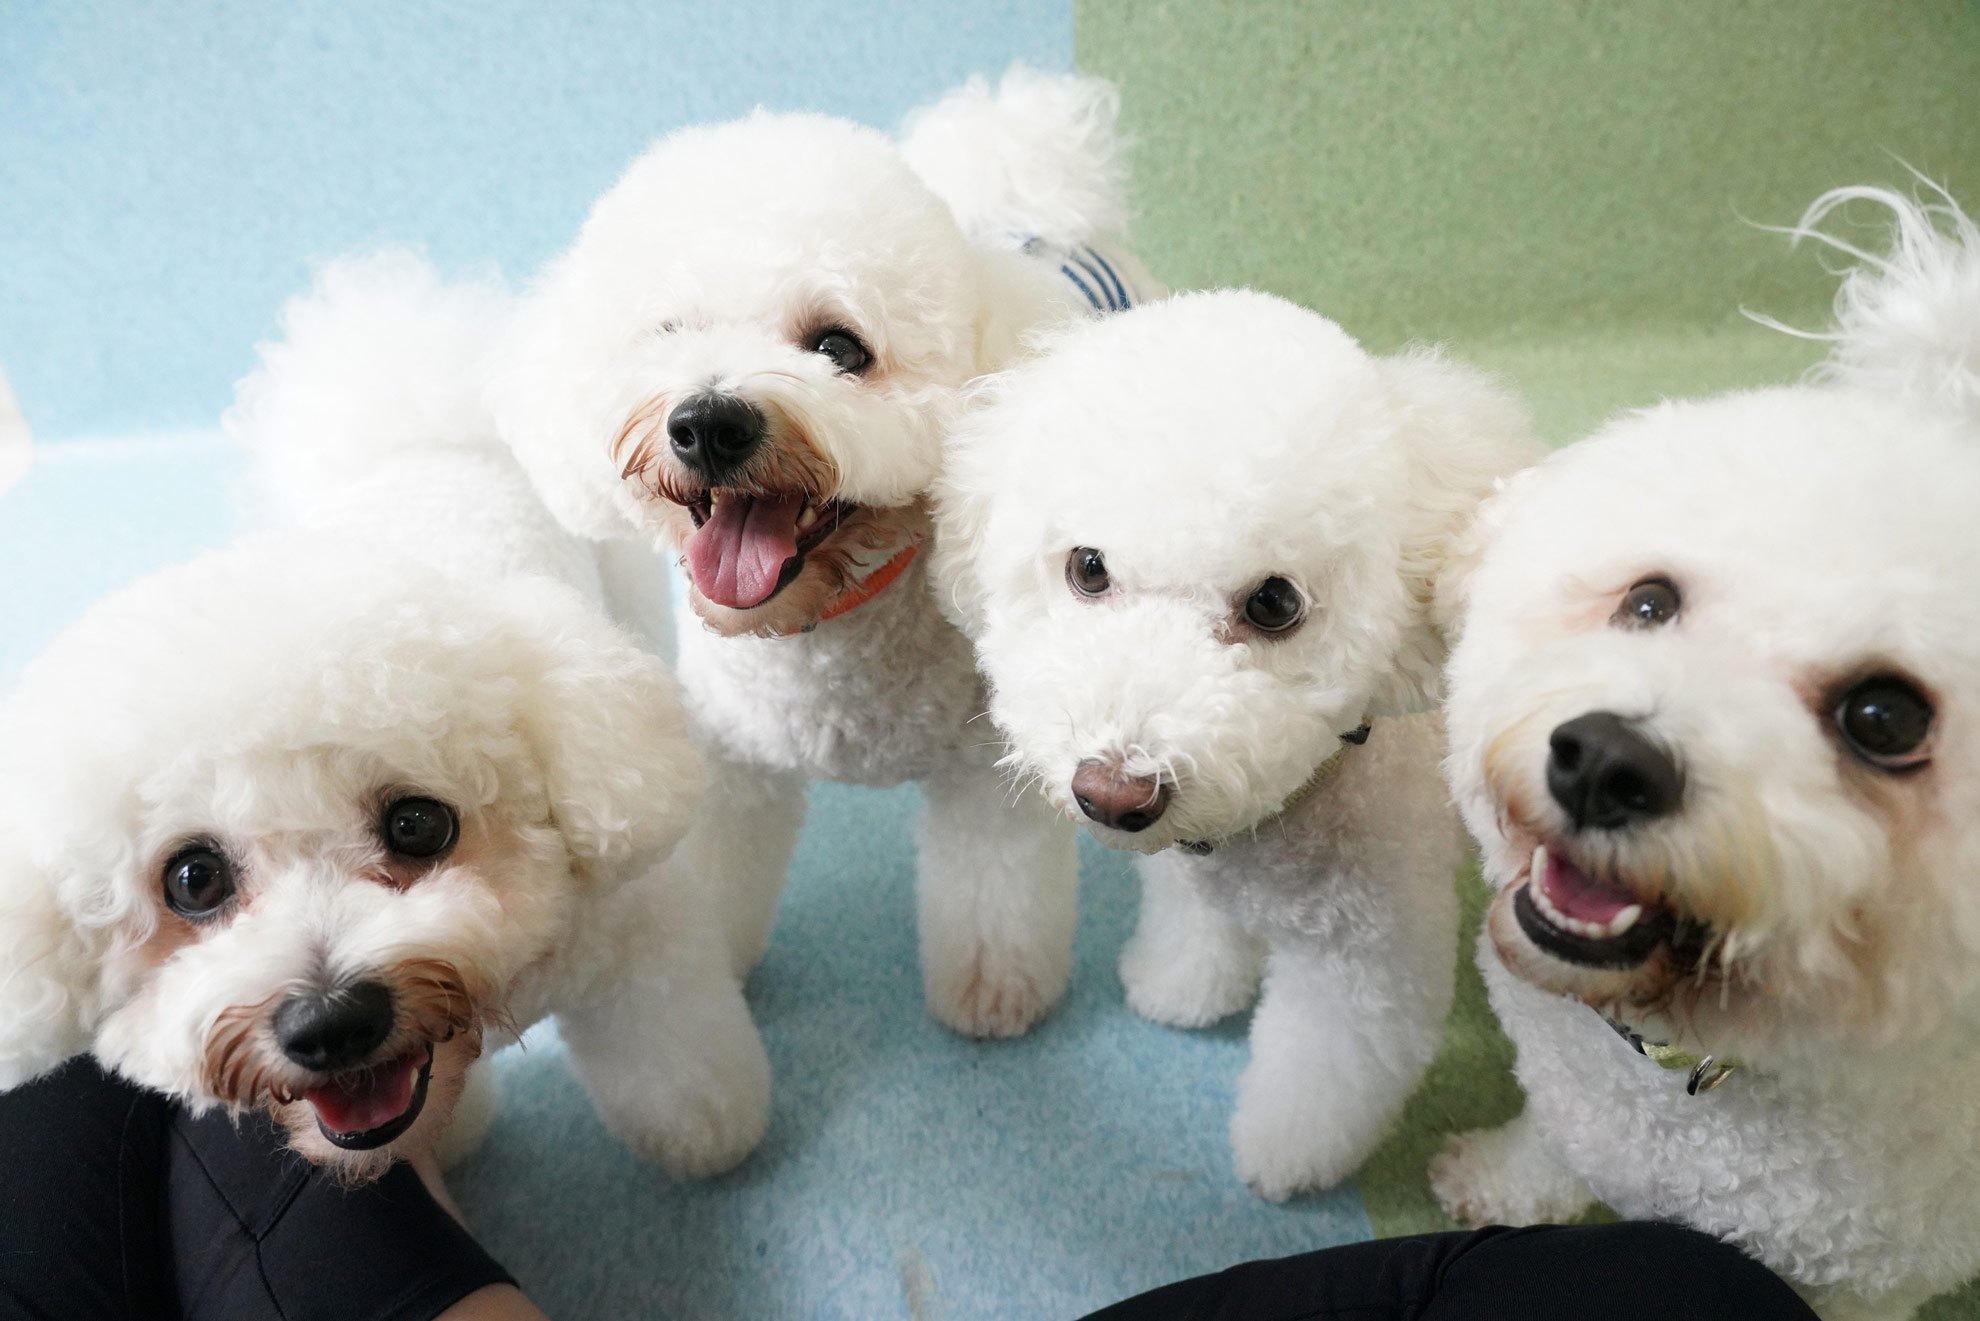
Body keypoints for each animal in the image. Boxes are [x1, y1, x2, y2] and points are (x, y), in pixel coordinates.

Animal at [0, 253, 764, 1180]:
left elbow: (674, 1056)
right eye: (192, 879)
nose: (329, 1022)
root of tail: (422, 436)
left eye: (418, 824)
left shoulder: (635, 946)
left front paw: (708, 1129)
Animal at [493, 69, 1156, 1045]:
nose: (709, 421)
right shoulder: (733, 762)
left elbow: (992, 894)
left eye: (839, 347)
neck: (826, 624)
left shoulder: (981, 773)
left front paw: (994, 993)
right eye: (668, 333)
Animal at [930, 289, 1544, 1196]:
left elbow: (1323, 1073)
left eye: (1275, 603)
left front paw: (1284, 1156)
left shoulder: (1366, 960)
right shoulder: (1192, 870)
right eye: (1087, 566)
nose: (1112, 793)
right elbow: (1195, 928)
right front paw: (1180, 987)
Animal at [1433, 188, 1980, 1321]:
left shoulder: (1864, 1281)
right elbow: (1546, 1152)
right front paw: (1494, 1184)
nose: (1606, 760)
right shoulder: (1579, 1109)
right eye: (1649, 602)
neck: (1690, 1075)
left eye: (1885, 719)